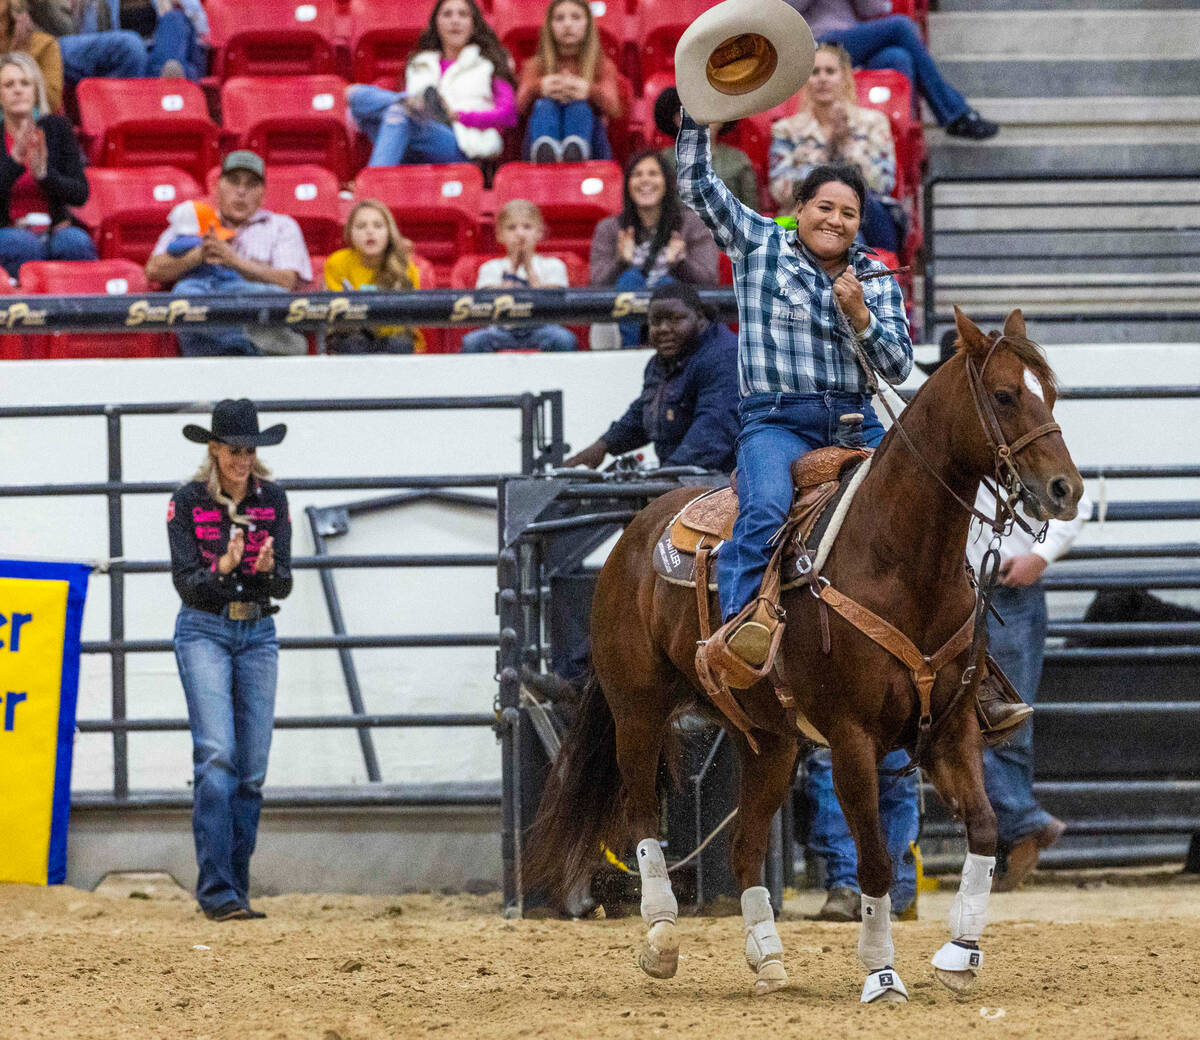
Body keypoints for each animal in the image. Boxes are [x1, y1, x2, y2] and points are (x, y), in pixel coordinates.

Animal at [525, 307, 1089, 1002]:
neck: (900, 561)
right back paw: (661, 939)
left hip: (769, 741)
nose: (1065, 490)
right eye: (1006, 395)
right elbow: (874, 861)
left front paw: (960, 954)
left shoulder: (950, 729)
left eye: (1051, 395)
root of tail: (635, 530)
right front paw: (881, 971)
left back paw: (767, 958)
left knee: (742, 846)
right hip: (639, 711)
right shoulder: (851, 739)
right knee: (642, 820)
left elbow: (983, 829)